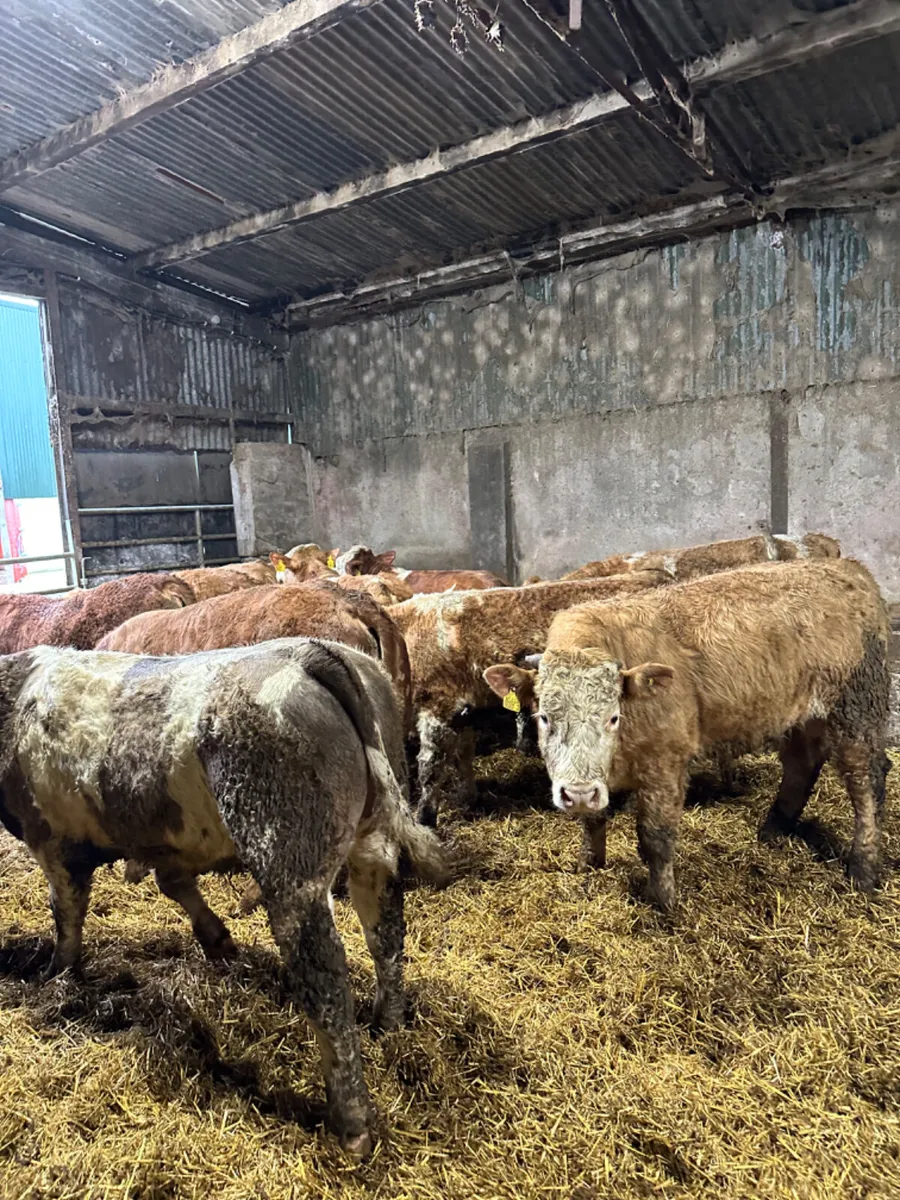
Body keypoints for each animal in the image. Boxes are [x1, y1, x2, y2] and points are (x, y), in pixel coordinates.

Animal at [0, 637, 447, 1156]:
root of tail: (309, 651)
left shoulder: (53, 841)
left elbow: (67, 914)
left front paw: (57, 975)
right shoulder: (168, 845)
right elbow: (173, 883)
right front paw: (218, 941)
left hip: (288, 862)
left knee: (324, 976)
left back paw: (351, 1123)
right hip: (372, 842)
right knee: (385, 930)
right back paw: (389, 1024)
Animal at [390, 572, 668, 825]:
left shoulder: (439, 706)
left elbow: (430, 769)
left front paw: (425, 818)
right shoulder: (463, 711)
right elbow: (463, 755)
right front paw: (468, 797)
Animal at [484, 559, 890, 909]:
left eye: (613, 717)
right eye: (544, 717)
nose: (578, 793)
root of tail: (849, 568)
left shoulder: (665, 762)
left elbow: (656, 837)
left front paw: (663, 904)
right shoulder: (593, 776)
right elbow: (592, 820)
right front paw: (589, 867)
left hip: (857, 710)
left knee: (866, 784)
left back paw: (863, 870)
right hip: (800, 717)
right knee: (802, 766)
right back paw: (773, 831)